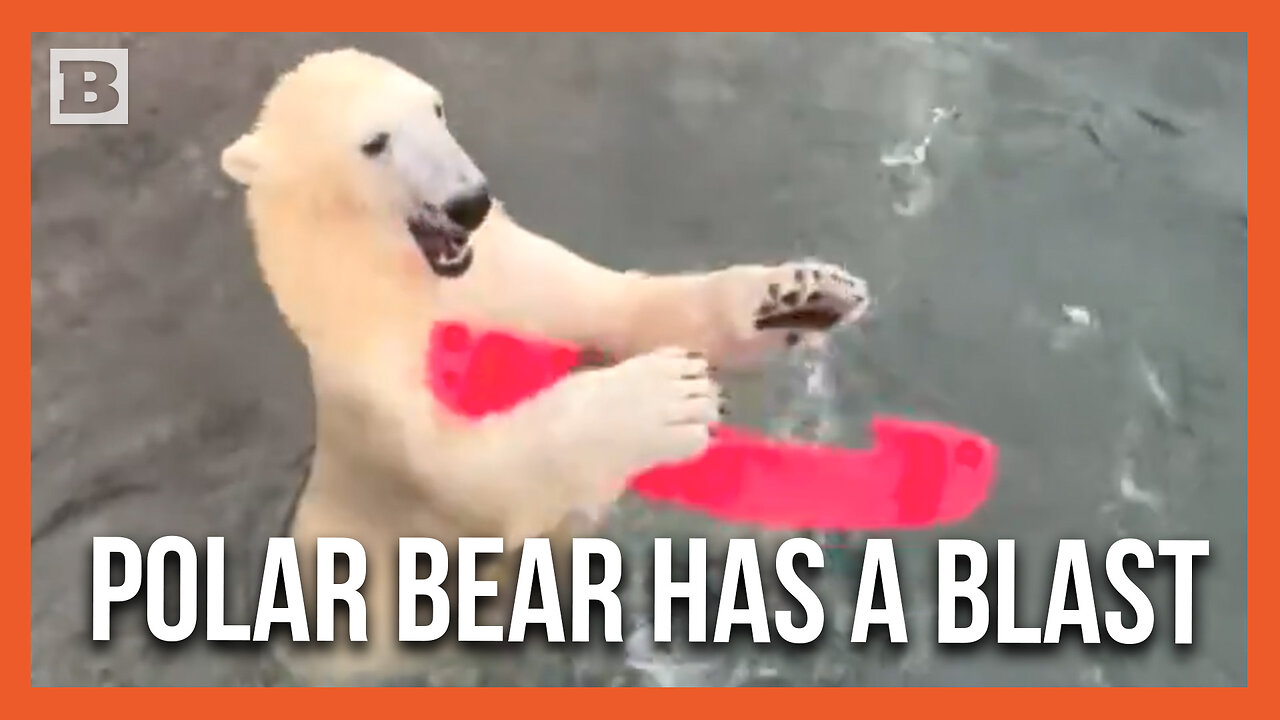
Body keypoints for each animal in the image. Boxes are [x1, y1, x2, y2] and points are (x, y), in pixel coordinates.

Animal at [225, 47, 875, 681]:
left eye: (436, 109)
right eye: (374, 142)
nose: (469, 203)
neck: (420, 287)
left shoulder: (520, 280)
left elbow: (624, 309)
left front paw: (801, 294)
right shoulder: (383, 390)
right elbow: (479, 471)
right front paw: (668, 398)